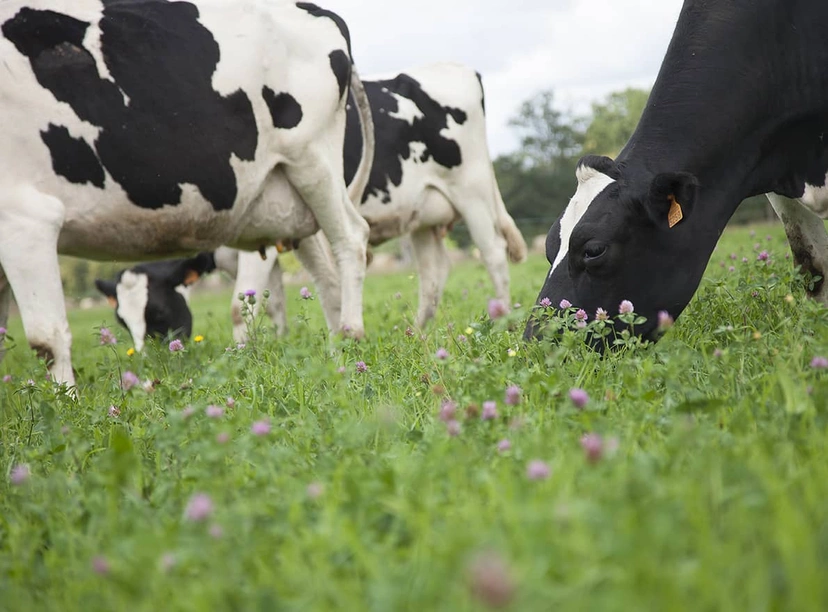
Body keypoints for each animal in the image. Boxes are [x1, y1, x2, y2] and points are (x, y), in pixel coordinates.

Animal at [0, 0, 374, 390]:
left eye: (160, 312)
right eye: (121, 320)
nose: (146, 360)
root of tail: (315, 9)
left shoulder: (25, 217)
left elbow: (46, 338)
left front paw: (64, 400)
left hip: (314, 164)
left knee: (350, 239)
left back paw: (350, 339)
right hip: (291, 201)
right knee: (327, 275)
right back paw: (336, 353)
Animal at [94, 64, 528, 346]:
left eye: (158, 313)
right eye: (121, 321)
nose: (150, 362)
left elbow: (239, 306)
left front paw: (242, 354)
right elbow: (271, 302)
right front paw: (281, 342)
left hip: (471, 190)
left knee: (492, 253)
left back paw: (502, 320)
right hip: (423, 215)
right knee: (434, 273)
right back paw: (419, 332)